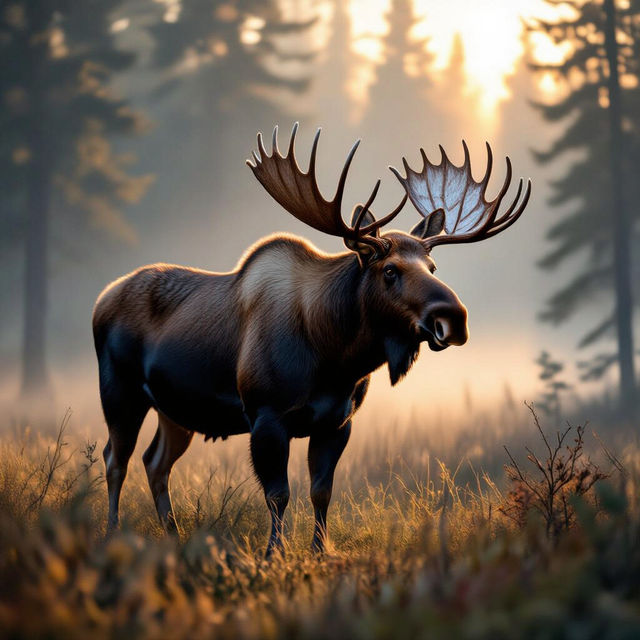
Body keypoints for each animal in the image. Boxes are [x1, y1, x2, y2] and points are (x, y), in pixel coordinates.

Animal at [93, 123, 531, 556]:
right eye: (389, 270)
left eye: (432, 266)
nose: (452, 318)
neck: (335, 358)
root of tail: (102, 299)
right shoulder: (266, 414)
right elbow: (278, 494)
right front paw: (274, 554)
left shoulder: (337, 421)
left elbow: (322, 492)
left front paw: (320, 551)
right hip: (120, 391)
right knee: (116, 458)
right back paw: (112, 532)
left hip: (175, 410)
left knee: (155, 462)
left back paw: (172, 533)